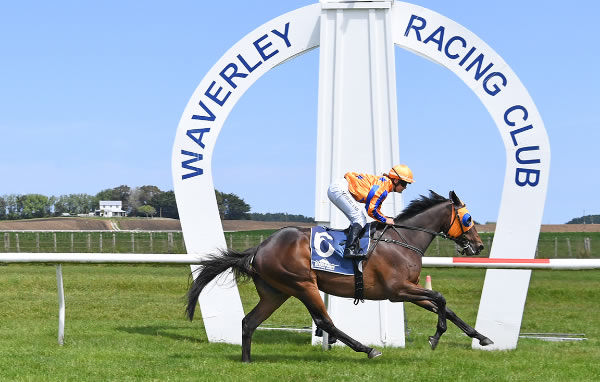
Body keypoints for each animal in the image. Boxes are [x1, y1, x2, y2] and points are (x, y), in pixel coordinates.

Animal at [186, 191, 492, 362]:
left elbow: (445, 306)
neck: (404, 240)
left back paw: (247, 361)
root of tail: (259, 248)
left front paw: (481, 337)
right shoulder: (397, 290)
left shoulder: (410, 289)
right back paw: (367, 349)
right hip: (302, 284)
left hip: (276, 293)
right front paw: (436, 336)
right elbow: (440, 298)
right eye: (468, 219)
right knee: (325, 321)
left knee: (249, 322)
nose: (478, 246)